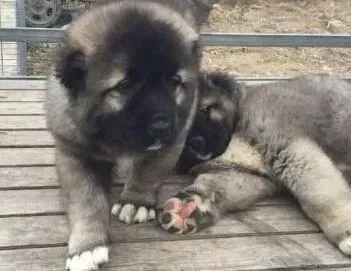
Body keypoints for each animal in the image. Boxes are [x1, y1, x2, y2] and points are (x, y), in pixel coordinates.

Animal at [45, 1, 205, 270]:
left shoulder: (171, 141)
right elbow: (86, 202)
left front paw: (136, 201)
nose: (162, 127)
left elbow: (149, 172)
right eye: (125, 86)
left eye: (174, 82)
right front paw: (86, 246)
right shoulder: (74, 154)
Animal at [161, 71, 351, 258]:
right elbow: (212, 185)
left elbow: (321, 196)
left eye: (204, 110)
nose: (197, 143)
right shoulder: (244, 173)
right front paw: (188, 206)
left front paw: (344, 230)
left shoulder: (290, 151)